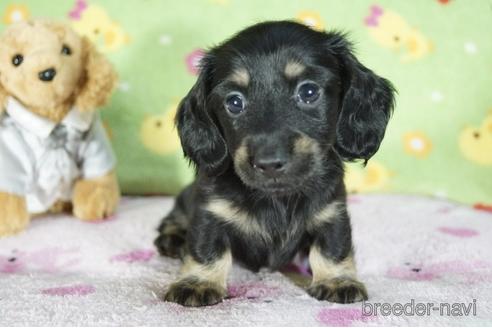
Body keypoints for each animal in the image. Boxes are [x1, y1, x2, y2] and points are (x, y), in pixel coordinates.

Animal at [155, 21, 396, 308]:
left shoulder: (332, 210)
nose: (269, 163)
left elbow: (333, 246)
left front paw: (337, 280)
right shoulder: (209, 211)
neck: (277, 198)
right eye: (234, 102)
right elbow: (206, 248)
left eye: (308, 92)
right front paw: (197, 282)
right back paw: (173, 238)